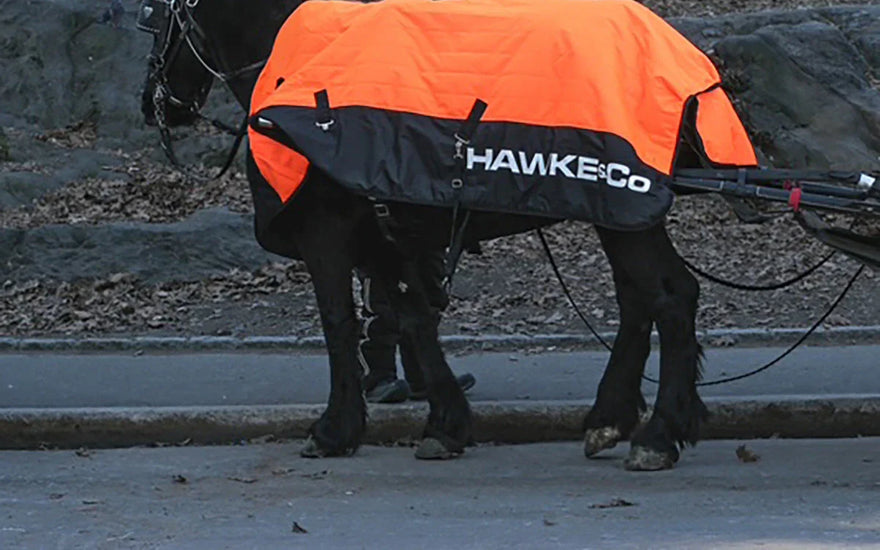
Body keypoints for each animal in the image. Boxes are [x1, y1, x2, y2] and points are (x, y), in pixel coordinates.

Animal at [138, 0, 709, 471]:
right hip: (621, 215)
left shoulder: (327, 233)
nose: (150, 104)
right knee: (644, 299)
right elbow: (413, 319)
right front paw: (446, 422)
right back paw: (613, 417)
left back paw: (659, 433)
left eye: (152, 16)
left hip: (624, 206)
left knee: (668, 297)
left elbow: (338, 323)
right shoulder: (383, 238)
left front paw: (335, 429)